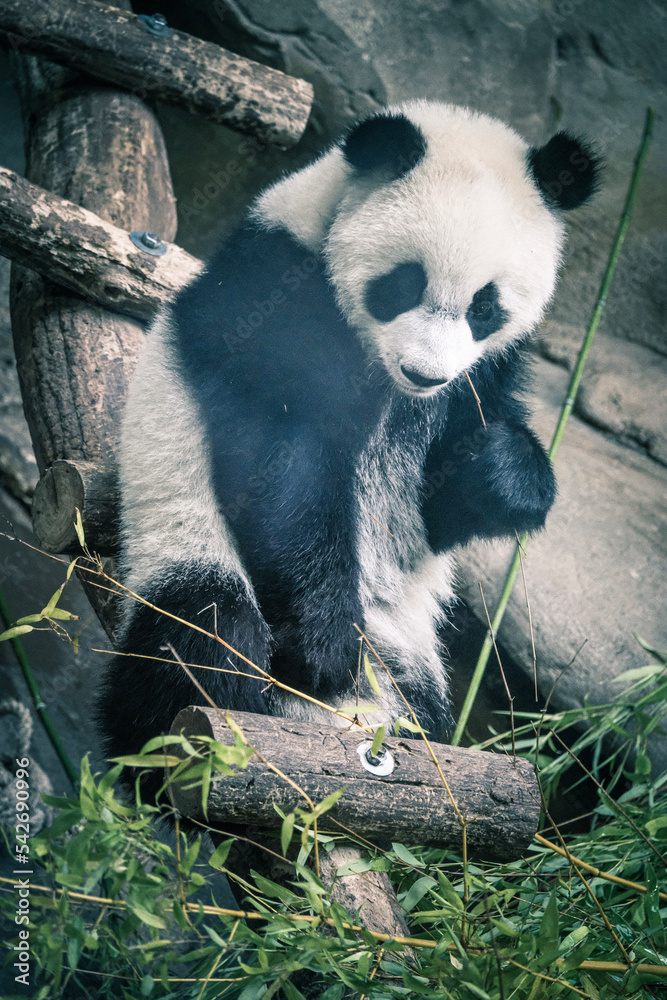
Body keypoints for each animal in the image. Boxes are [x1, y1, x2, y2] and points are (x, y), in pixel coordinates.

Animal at [97, 102, 598, 789]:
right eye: (404, 284)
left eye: (485, 307)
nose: (425, 373)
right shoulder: (273, 294)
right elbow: (282, 460)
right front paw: (325, 647)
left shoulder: (486, 373)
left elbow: (445, 506)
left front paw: (498, 470)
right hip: (183, 542)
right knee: (200, 643)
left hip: (408, 648)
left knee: (421, 704)